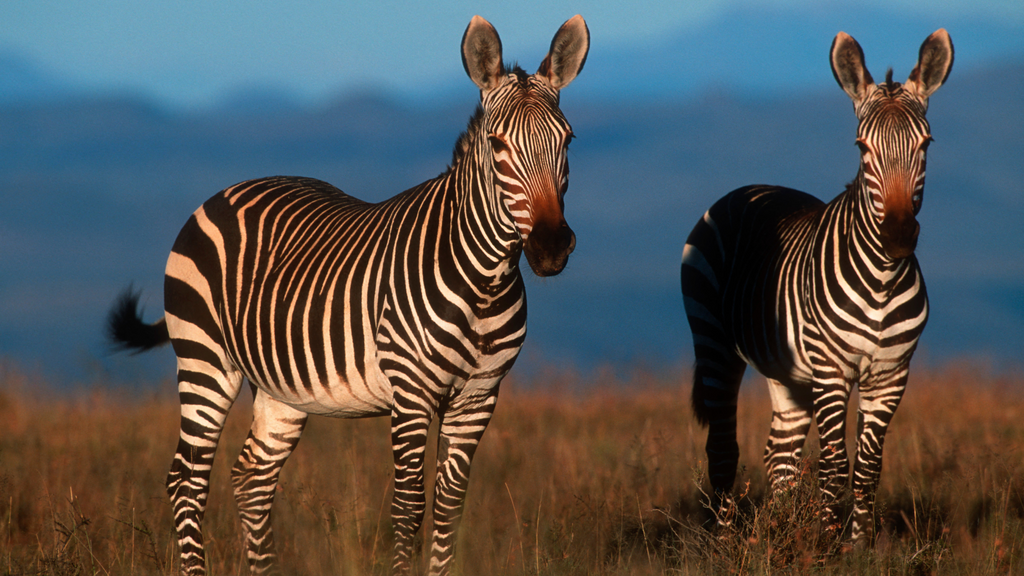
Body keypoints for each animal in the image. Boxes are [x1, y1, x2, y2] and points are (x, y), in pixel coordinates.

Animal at [107, 14, 589, 573]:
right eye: (497, 144)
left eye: (568, 141)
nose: (551, 247)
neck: (483, 284)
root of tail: (225, 192)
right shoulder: (411, 392)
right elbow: (409, 506)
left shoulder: (479, 396)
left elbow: (450, 507)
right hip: (204, 359)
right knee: (186, 480)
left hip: (279, 387)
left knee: (252, 479)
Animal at [679, 30, 950, 541]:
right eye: (862, 147)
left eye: (926, 143)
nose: (899, 236)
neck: (882, 281)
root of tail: (749, 187)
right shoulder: (831, 370)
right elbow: (833, 465)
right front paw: (826, 542)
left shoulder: (890, 376)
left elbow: (867, 467)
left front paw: (857, 546)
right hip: (715, 344)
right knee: (723, 450)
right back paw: (724, 542)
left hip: (786, 373)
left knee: (779, 455)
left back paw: (783, 531)